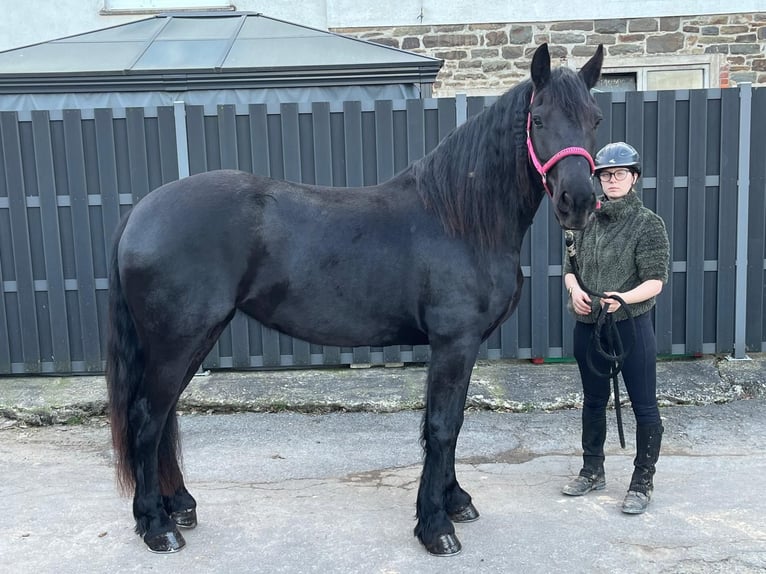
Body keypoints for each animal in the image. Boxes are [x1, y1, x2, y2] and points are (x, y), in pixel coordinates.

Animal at [106, 42, 604, 557]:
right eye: (538, 119)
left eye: (596, 119)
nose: (579, 202)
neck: (459, 219)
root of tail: (141, 212)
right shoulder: (454, 343)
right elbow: (442, 426)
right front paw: (436, 526)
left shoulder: (461, 347)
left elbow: (453, 423)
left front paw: (456, 501)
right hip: (178, 341)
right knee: (147, 418)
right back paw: (156, 525)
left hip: (193, 340)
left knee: (163, 418)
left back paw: (179, 506)